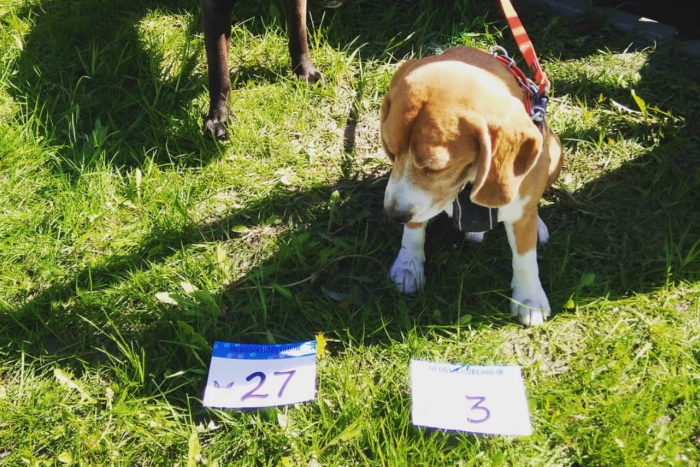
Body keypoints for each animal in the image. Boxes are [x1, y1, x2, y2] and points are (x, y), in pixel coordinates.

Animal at [380, 46, 563, 327]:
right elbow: (413, 230)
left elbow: (525, 257)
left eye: (435, 167)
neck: (466, 186)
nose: (393, 216)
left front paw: (529, 298)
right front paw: (408, 265)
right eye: (390, 151)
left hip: (554, 153)